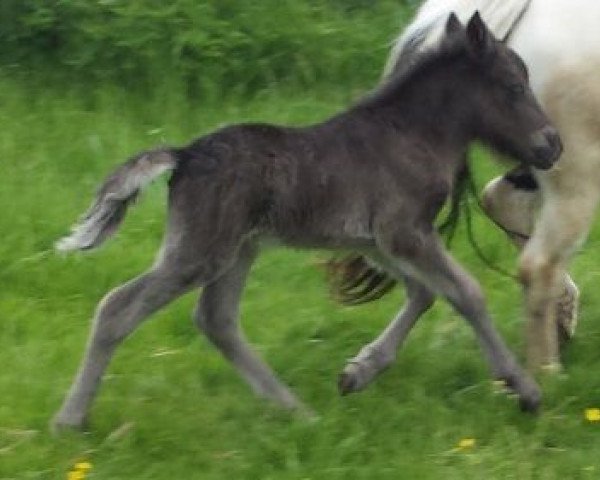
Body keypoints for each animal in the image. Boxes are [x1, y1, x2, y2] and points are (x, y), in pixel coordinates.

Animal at [52, 12, 564, 432]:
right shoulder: (404, 233)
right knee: (118, 308)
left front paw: (358, 373)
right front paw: (524, 389)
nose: (552, 145)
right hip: (202, 250)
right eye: (512, 86)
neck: (413, 134)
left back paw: (295, 411)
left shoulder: (380, 242)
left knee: (217, 319)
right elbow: (467, 294)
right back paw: (70, 420)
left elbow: (424, 293)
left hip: (240, 249)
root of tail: (183, 156)